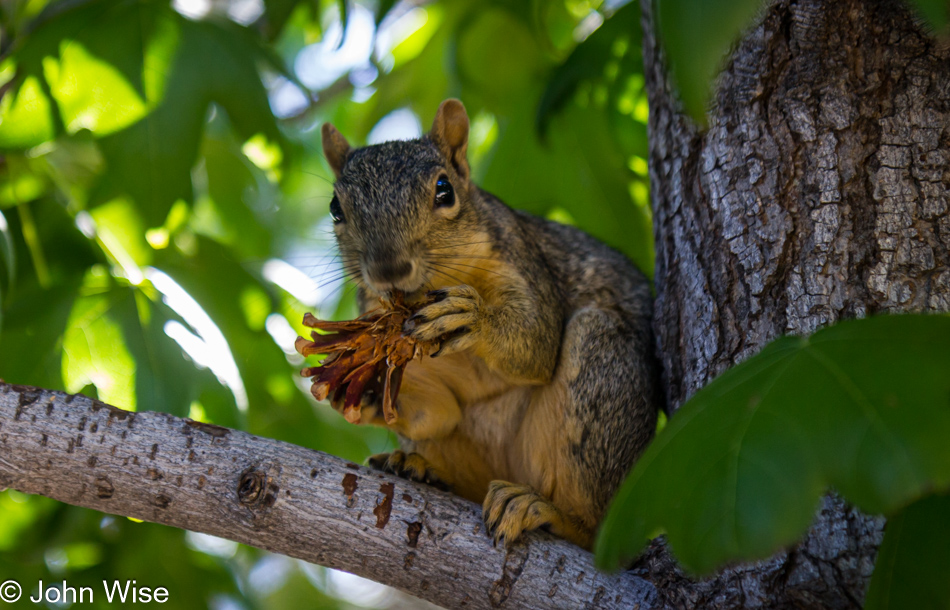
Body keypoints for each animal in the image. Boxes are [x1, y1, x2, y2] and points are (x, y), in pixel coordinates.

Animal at [322, 98, 660, 548]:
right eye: (335, 208)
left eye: (445, 190)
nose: (388, 269)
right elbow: (436, 411)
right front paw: (370, 394)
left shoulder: (521, 262)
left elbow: (537, 344)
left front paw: (473, 318)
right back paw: (415, 466)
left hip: (602, 375)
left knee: (591, 527)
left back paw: (547, 511)